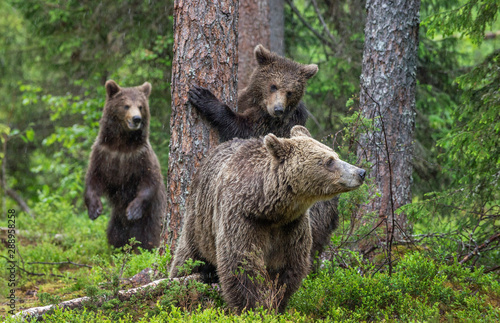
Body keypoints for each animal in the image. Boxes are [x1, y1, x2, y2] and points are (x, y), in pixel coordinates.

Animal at [83, 80, 166, 251]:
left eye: (141, 106)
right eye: (126, 105)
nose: (136, 119)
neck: (122, 144)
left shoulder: (140, 156)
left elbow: (150, 180)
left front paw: (133, 210)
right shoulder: (103, 154)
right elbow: (93, 178)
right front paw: (94, 209)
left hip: (152, 221)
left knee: (149, 239)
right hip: (117, 222)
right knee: (114, 235)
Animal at [170, 125, 366, 312]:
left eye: (335, 155)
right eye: (329, 161)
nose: (361, 172)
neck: (269, 209)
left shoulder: (291, 226)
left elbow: (286, 267)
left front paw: (276, 302)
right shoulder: (243, 219)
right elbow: (242, 263)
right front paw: (255, 306)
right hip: (200, 220)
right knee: (187, 257)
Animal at [188, 44, 340, 270]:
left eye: (290, 91)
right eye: (273, 86)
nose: (278, 109)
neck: (261, 106)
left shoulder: (269, 125)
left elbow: (240, 128)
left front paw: (204, 97)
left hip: (313, 216)